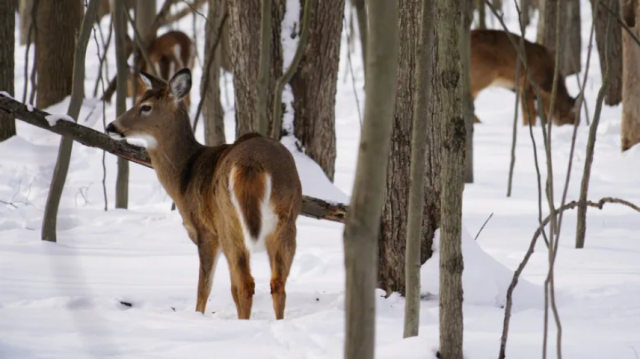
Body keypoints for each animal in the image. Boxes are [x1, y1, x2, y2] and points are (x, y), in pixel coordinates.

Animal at [106, 68, 302, 320]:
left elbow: (204, 288)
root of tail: (251, 164)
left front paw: (197, 316)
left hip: (229, 221)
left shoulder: (205, 230)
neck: (184, 176)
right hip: (287, 217)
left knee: (245, 284)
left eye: (146, 106)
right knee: (276, 283)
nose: (111, 126)